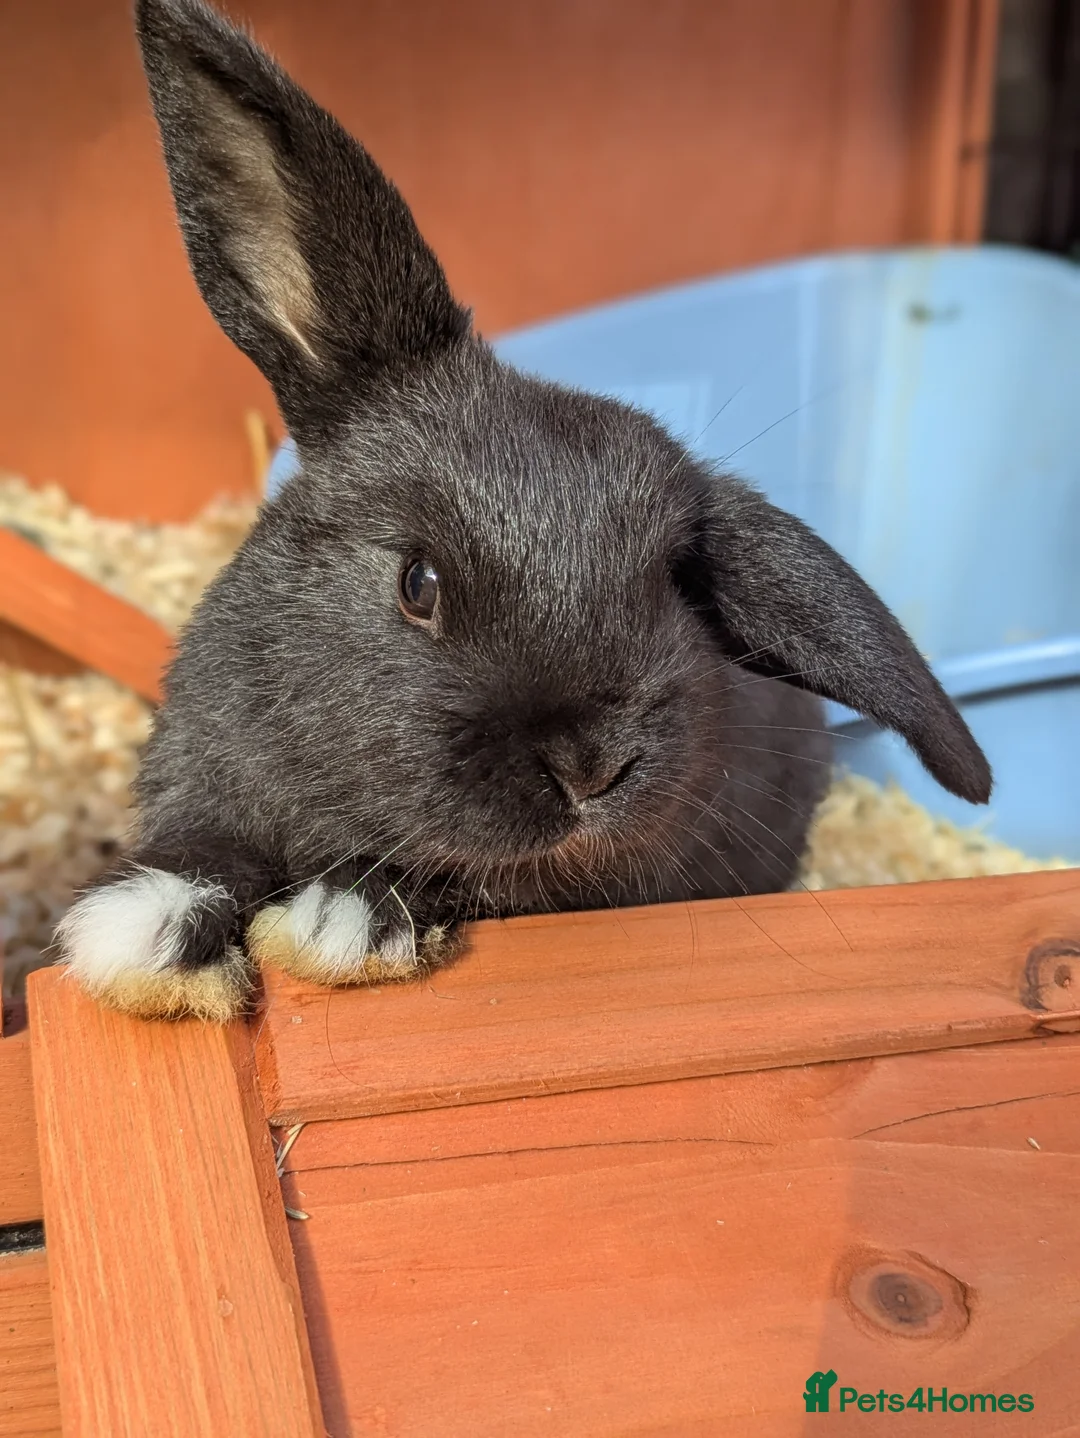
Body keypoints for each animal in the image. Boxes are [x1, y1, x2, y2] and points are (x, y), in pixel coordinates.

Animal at [56, 0, 991, 1022]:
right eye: (417, 580)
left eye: (675, 585)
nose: (591, 768)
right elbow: (202, 850)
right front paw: (150, 930)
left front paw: (347, 919)